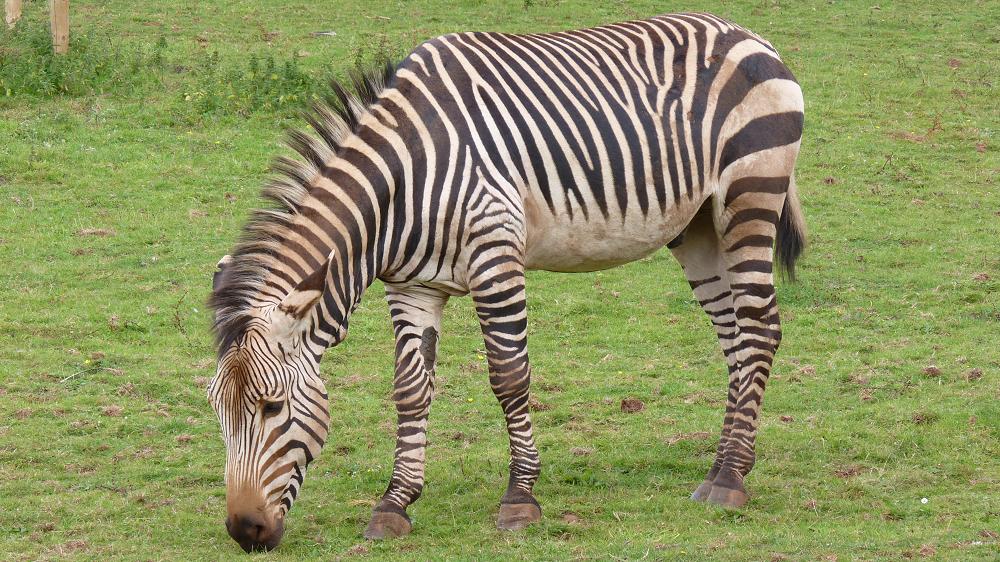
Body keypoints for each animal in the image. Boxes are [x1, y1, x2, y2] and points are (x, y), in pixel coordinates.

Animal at [207, 12, 805, 552]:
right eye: (218, 411)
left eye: (271, 407)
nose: (245, 532)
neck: (402, 183)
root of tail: (749, 35)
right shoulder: (411, 286)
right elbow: (410, 390)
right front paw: (394, 505)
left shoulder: (495, 258)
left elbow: (509, 377)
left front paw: (520, 498)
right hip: (698, 224)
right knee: (734, 337)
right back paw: (723, 465)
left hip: (750, 195)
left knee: (759, 329)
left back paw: (730, 481)